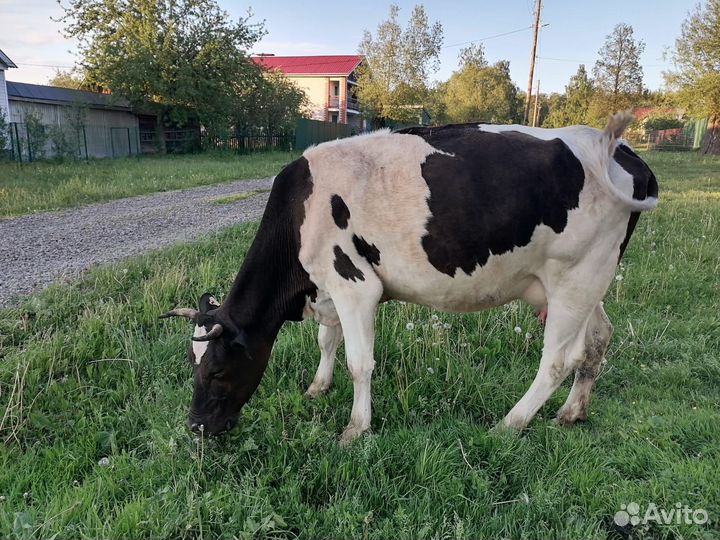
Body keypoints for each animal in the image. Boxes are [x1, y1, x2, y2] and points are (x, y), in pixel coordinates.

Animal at [160, 112, 658, 443]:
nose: (196, 427)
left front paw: (355, 428)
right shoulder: (330, 289)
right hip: (585, 281)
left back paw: (509, 423)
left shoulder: (354, 284)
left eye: (217, 369)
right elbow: (327, 341)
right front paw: (318, 388)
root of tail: (614, 147)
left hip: (576, 278)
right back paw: (572, 413)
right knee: (597, 339)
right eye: (190, 364)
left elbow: (359, 362)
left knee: (556, 360)